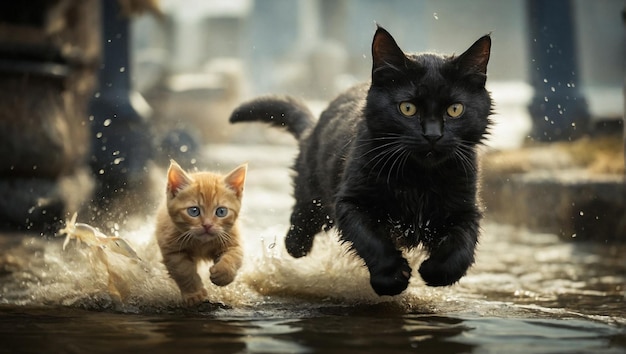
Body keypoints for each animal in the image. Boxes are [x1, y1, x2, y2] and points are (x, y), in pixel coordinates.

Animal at [154, 160, 246, 304]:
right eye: (194, 211)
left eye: (221, 211)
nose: (207, 225)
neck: (202, 244)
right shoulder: (171, 248)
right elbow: (183, 271)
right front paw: (194, 294)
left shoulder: (232, 240)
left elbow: (234, 257)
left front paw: (222, 274)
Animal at [230, 25, 492, 296]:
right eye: (407, 108)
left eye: (455, 110)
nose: (432, 135)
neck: (419, 178)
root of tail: (314, 127)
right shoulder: (351, 202)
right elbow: (371, 240)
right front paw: (391, 278)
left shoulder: (465, 208)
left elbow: (462, 246)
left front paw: (435, 271)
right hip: (313, 192)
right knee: (302, 215)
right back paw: (296, 245)